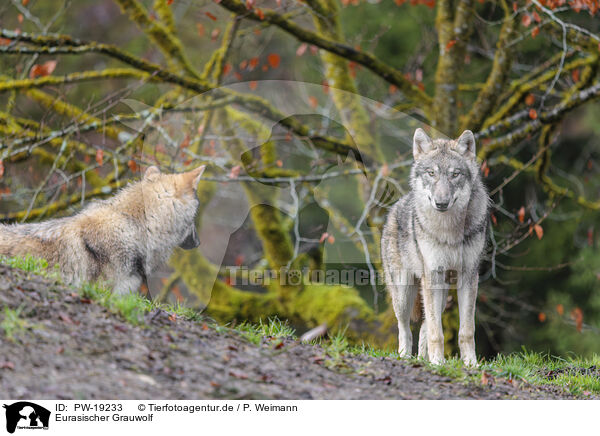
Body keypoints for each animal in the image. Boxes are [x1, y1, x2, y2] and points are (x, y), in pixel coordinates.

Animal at [382, 129, 490, 364]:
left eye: (455, 174)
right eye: (431, 173)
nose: (441, 203)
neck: (449, 230)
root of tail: (395, 206)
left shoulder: (469, 276)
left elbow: (466, 330)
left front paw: (471, 364)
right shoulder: (432, 275)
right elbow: (436, 332)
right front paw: (439, 362)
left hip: (441, 293)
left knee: (425, 326)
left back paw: (424, 359)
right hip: (405, 292)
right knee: (405, 328)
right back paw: (406, 357)